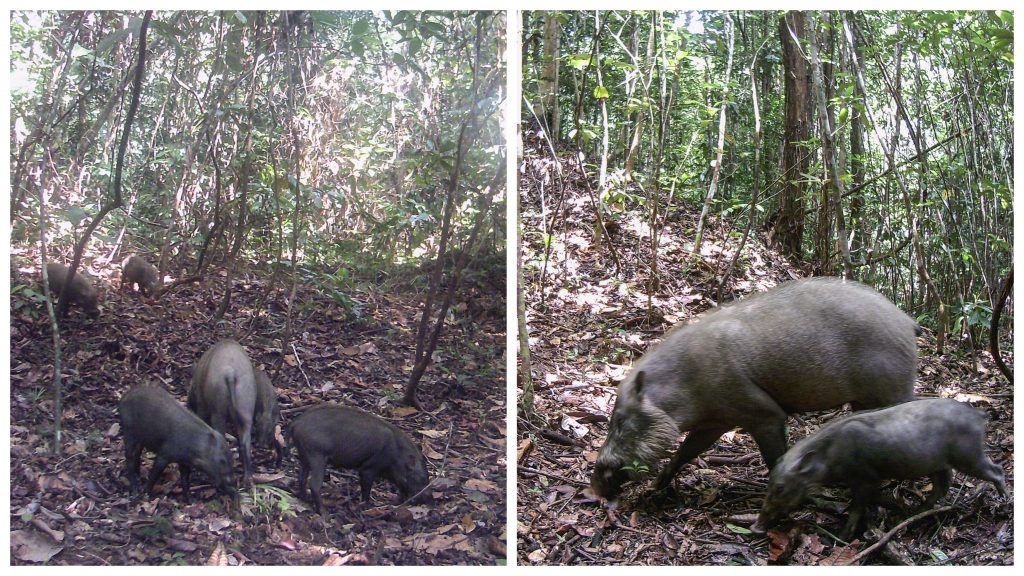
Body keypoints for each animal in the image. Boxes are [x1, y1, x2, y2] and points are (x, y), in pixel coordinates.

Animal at [190, 338, 258, 485]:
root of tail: (230, 373)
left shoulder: (202, 405)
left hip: (218, 411)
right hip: (246, 405)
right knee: (246, 441)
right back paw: (247, 481)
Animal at [290, 401, 430, 508]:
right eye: (423, 479)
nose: (429, 499)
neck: (397, 455)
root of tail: (296, 423)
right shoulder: (368, 468)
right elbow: (366, 488)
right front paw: (367, 505)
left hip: (305, 456)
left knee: (301, 478)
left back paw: (305, 499)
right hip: (317, 456)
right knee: (314, 484)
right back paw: (324, 513)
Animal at [593, 276, 921, 498]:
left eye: (619, 421)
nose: (594, 485)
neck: (686, 385)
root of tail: (908, 322)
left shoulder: (763, 414)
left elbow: (775, 458)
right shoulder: (715, 422)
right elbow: (686, 451)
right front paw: (655, 488)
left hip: (894, 389)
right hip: (863, 400)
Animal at [753, 397, 1007, 537]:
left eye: (780, 488)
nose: (756, 527)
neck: (830, 456)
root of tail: (979, 414)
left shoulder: (865, 477)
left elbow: (858, 506)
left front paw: (843, 534)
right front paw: (898, 506)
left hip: (969, 456)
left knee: (996, 471)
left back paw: (1005, 499)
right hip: (939, 463)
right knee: (943, 485)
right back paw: (915, 511)